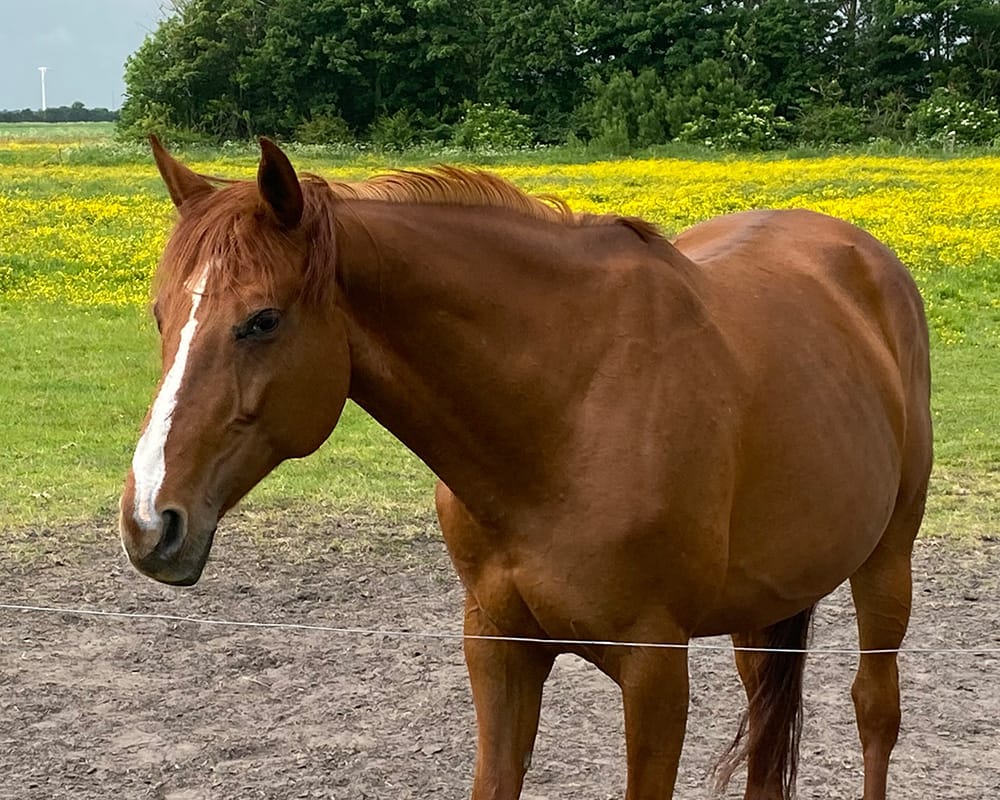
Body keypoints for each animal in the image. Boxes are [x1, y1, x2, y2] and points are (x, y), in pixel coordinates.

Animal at [120, 137, 932, 800]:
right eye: (161, 315)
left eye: (262, 320)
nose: (150, 522)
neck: (568, 413)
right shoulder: (498, 650)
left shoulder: (655, 670)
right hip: (764, 609)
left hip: (886, 565)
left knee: (875, 711)